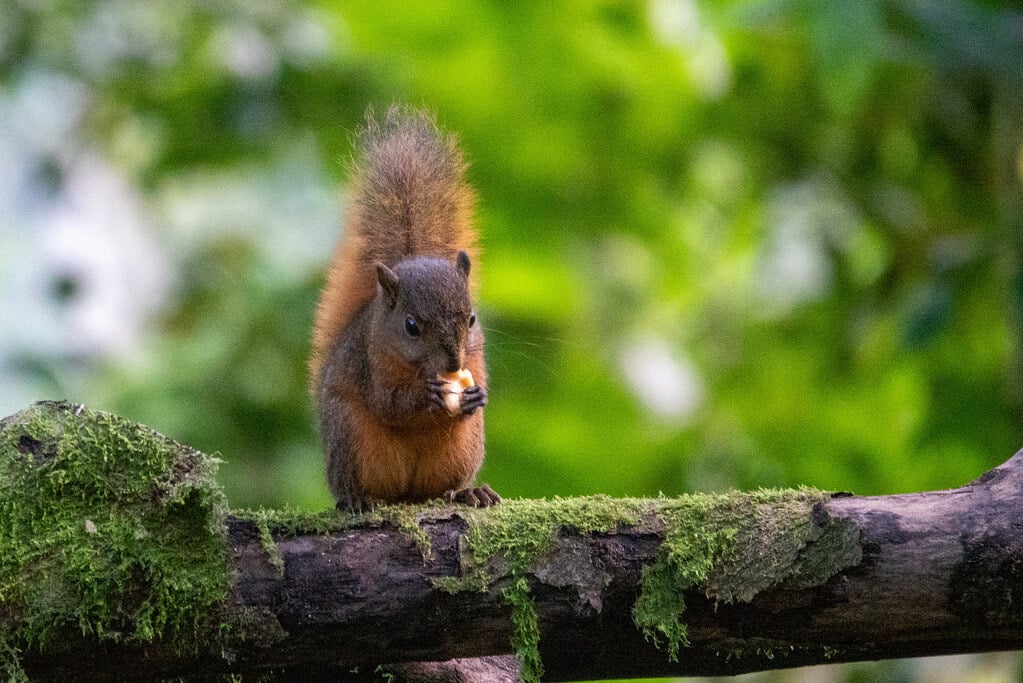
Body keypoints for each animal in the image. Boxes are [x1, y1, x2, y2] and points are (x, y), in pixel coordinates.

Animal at [310, 106, 500, 512]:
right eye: (411, 325)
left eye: (471, 319)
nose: (453, 362)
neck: (421, 367)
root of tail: (408, 495)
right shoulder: (369, 360)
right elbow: (388, 404)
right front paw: (424, 395)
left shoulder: (477, 357)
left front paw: (477, 396)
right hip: (348, 434)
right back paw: (356, 498)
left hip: (465, 448)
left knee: (445, 486)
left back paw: (468, 491)